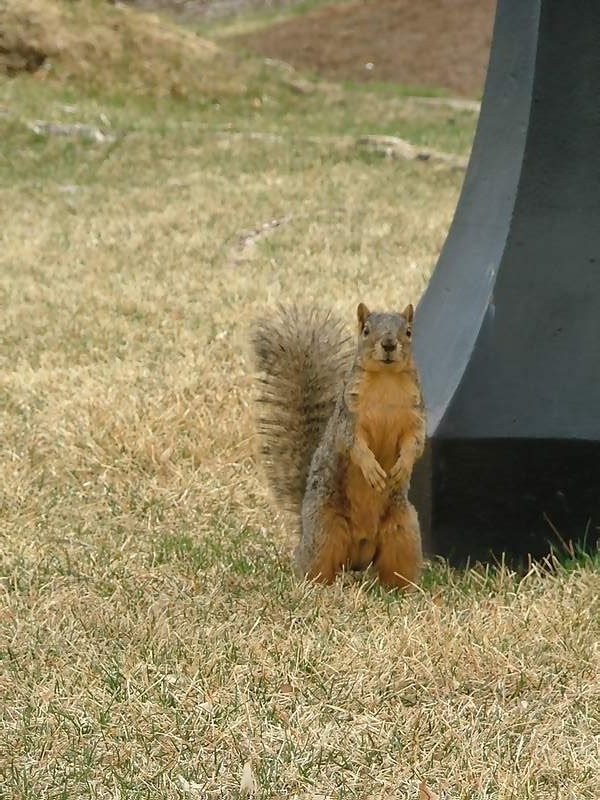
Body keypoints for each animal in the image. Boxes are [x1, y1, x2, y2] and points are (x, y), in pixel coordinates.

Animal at [252, 302, 425, 589]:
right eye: (366, 330)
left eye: (409, 332)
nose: (389, 344)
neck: (386, 380)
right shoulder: (349, 418)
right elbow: (353, 444)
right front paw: (372, 470)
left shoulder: (416, 415)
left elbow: (416, 443)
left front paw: (402, 466)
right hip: (324, 533)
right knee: (315, 566)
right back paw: (316, 587)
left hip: (404, 533)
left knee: (396, 570)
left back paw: (407, 592)